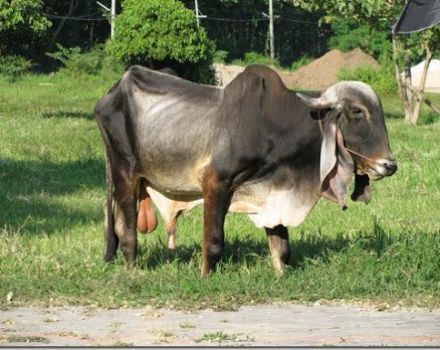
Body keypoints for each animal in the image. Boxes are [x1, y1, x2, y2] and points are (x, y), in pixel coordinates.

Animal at [94, 64, 398, 274]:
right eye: (357, 112)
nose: (389, 165)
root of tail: (111, 94)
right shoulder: (216, 183)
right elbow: (213, 241)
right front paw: (205, 276)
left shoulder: (274, 194)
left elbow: (282, 247)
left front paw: (281, 274)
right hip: (125, 171)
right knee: (126, 228)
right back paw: (133, 270)